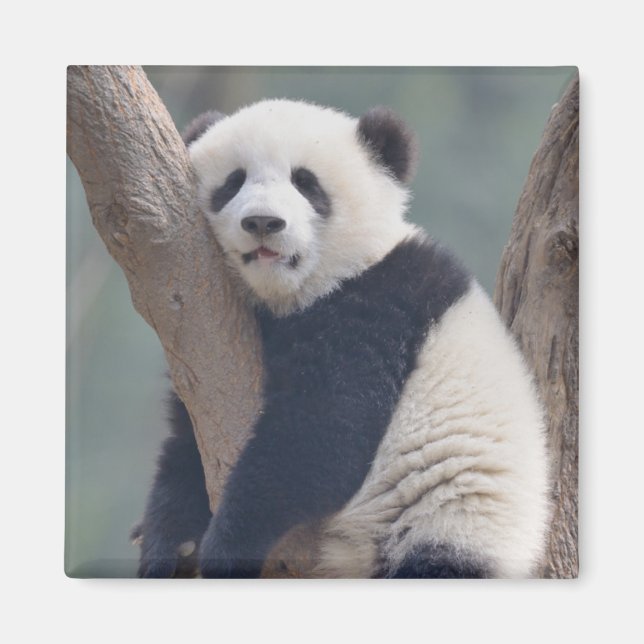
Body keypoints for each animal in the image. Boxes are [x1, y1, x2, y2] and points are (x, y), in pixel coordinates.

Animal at [134, 99, 550, 579]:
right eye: (233, 182)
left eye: (306, 182)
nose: (263, 222)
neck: (295, 295)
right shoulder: (206, 340)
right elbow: (186, 438)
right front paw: (172, 543)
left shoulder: (380, 310)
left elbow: (321, 434)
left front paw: (226, 545)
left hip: (448, 525)